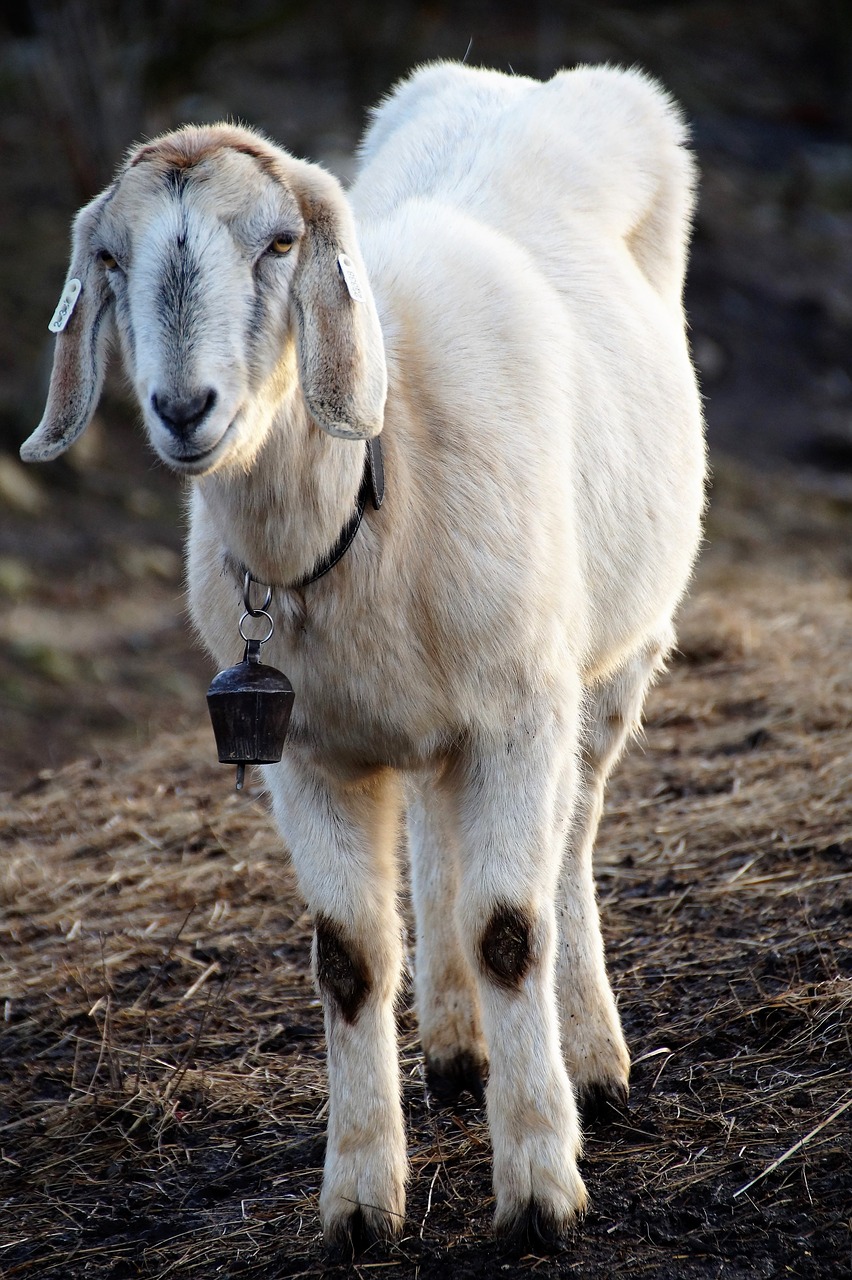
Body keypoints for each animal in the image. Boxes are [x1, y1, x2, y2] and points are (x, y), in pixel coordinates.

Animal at [24, 60, 701, 1249]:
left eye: (279, 243)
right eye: (110, 258)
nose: (184, 407)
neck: (380, 474)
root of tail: (518, 82)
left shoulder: (519, 713)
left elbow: (511, 927)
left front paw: (539, 1190)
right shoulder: (308, 753)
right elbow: (347, 959)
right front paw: (358, 1200)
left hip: (613, 664)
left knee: (568, 845)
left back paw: (592, 1059)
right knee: (437, 836)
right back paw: (454, 1048)